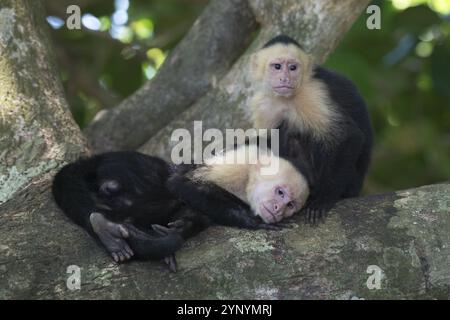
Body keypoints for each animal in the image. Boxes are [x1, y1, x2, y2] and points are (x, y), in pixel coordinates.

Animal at [51, 145, 308, 270]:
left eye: (291, 204)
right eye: (280, 193)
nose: (279, 208)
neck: (245, 186)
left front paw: (183, 225)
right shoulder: (239, 162)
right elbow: (181, 183)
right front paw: (252, 222)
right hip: (123, 168)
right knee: (164, 184)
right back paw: (108, 225)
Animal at [250, 35, 372, 224]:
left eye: (293, 67)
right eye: (277, 67)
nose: (285, 79)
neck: (286, 99)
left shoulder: (313, 94)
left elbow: (349, 136)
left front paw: (324, 198)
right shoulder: (263, 105)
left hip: (351, 183)